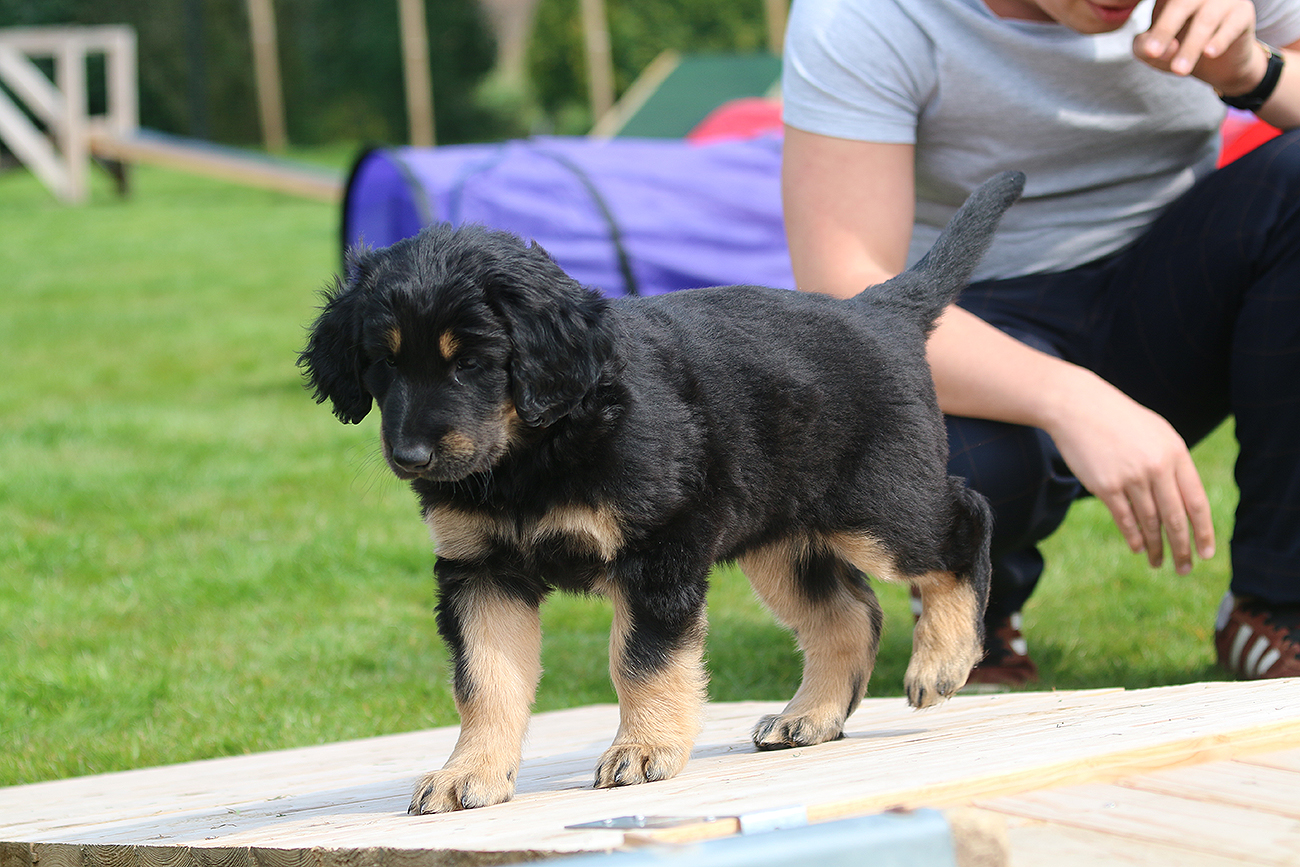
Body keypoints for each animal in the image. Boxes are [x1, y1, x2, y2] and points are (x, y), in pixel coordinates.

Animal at [300, 170, 1024, 815]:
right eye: (382, 363)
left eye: (472, 362)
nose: (410, 458)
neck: (532, 456)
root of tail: (879, 308)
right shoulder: (479, 570)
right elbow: (485, 681)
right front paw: (469, 773)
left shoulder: (657, 549)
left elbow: (641, 659)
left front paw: (643, 750)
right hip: (780, 535)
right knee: (849, 613)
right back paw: (810, 716)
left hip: (880, 506)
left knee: (967, 519)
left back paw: (943, 661)